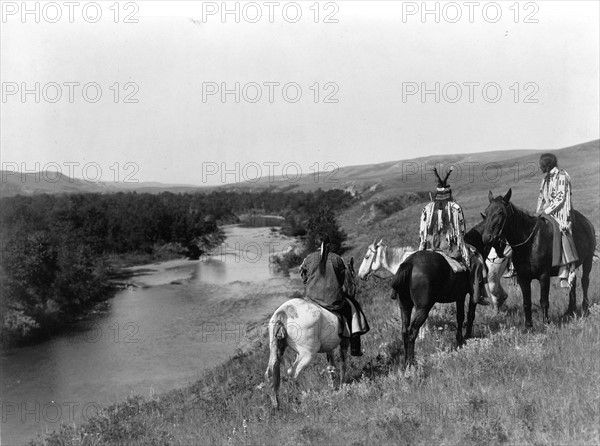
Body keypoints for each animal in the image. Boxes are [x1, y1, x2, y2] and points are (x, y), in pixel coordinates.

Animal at [264, 258, 356, 408]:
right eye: (352, 273)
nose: (353, 289)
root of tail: (283, 313)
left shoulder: (329, 348)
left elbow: (331, 366)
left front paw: (334, 385)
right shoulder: (344, 342)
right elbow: (343, 363)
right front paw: (342, 384)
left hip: (276, 349)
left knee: (271, 373)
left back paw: (277, 405)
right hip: (308, 354)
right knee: (293, 372)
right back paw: (304, 395)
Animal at [478, 189, 596, 328]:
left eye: (500, 212)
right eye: (486, 212)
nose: (486, 238)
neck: (530, 243)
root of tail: (586, 222)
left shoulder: (544, 276)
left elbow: (544, 300)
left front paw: (546, 323)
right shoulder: (523, 278)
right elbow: (526, 302)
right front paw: (528, 325)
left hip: (588, 260)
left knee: (584, 281)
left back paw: (585, 307)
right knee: (573, 282)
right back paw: (570, 310)